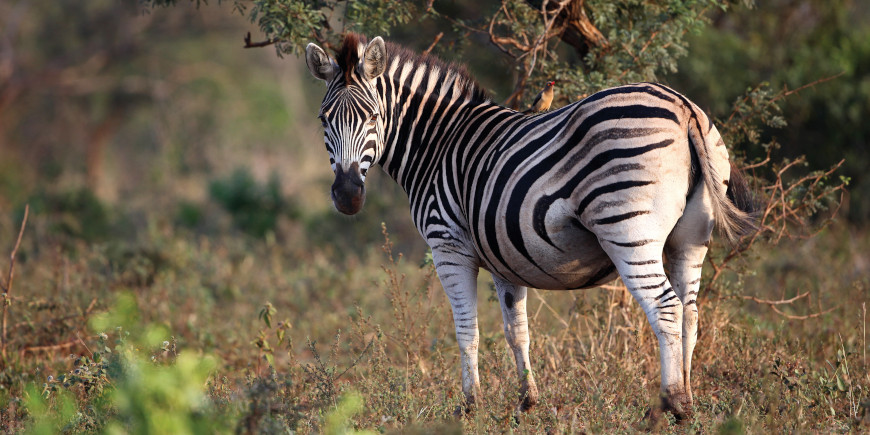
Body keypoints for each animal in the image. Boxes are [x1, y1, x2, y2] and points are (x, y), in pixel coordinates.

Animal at [306, 33, 756, 416]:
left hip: (628, 228)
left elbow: (466, 330)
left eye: (373, 117)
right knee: (690, 312)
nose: (347, 196)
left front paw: (470, 406)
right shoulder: (505, 255)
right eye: (324, 119)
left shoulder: (448, 245)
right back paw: (690, 397)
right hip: (690, 239)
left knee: (665, 306)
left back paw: (672, 404)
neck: (437, 143)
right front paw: (527, 401)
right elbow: (515, 330)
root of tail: (683, 108)